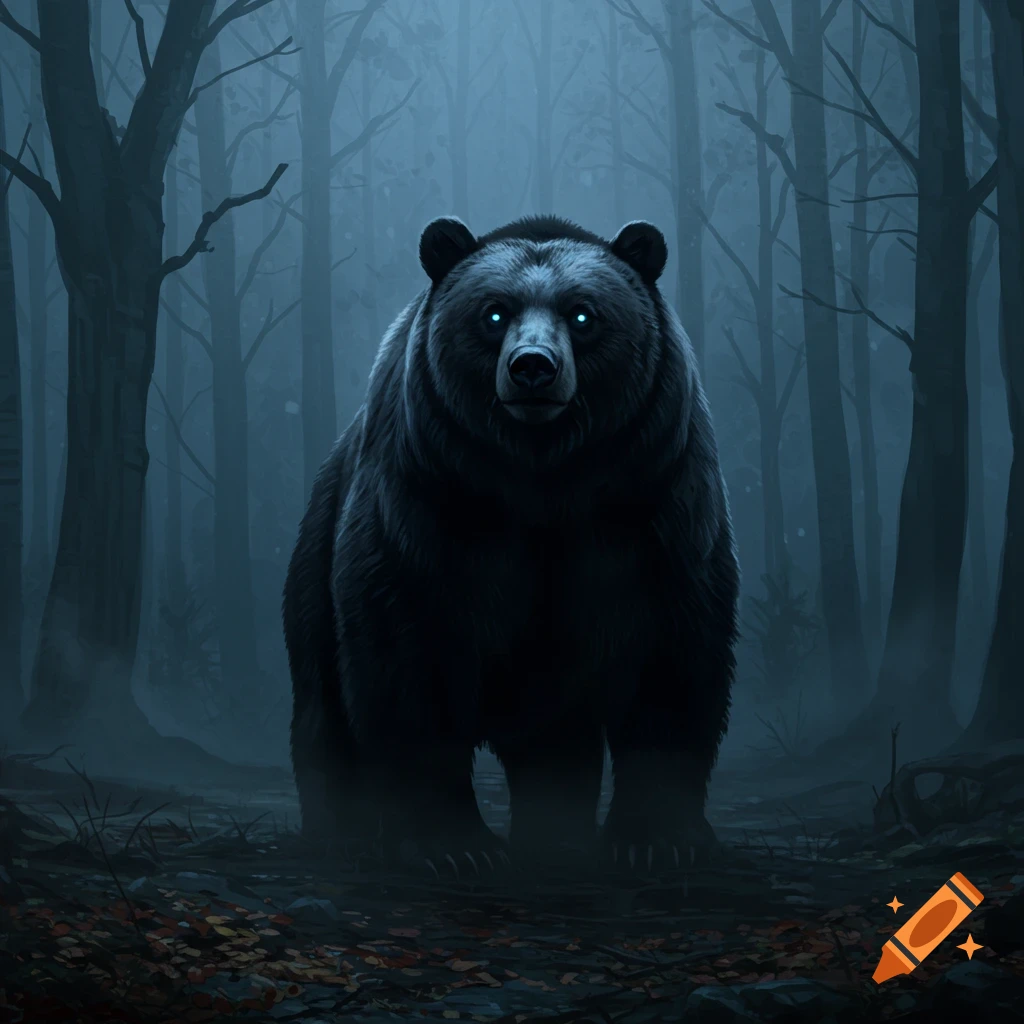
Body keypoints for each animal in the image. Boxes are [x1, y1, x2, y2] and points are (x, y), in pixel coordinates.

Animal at [283, 214, 740, 875]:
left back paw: (555, 834)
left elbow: (673, 657)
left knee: (557, 740)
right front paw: (451, 845)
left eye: (583, 314)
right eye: (493, 313)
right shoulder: (425, 504)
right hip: (315, 561)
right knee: (323, 705)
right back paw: (338, 832)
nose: (532, 367)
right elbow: (407, 658)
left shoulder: (655, 501)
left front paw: (659, 840)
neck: (541, 481)